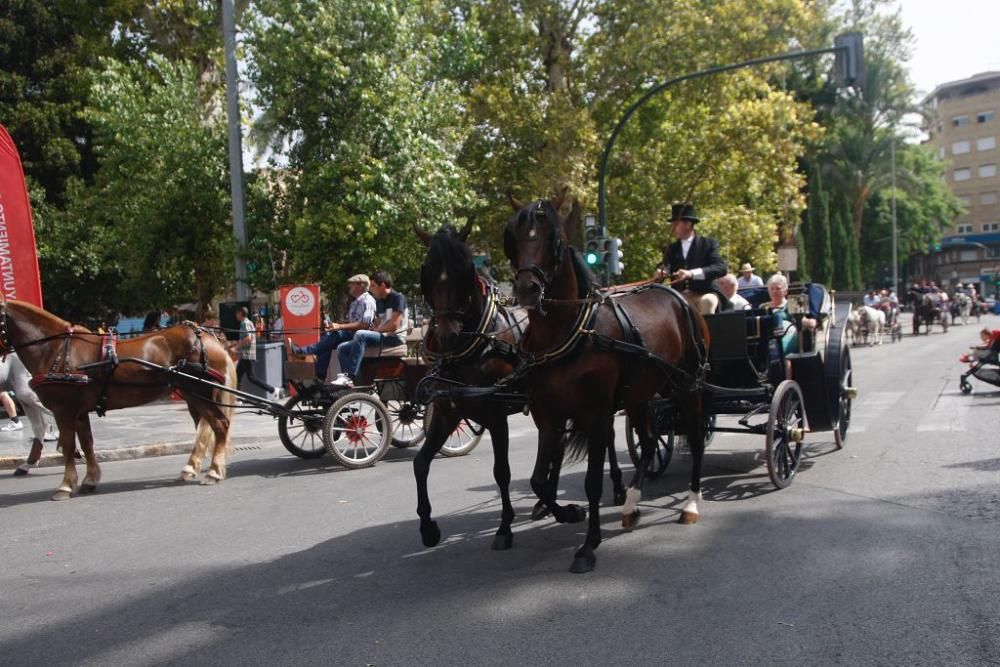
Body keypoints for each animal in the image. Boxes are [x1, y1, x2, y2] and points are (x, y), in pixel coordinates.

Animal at [0, 300, 237, 498]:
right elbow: (87, 443)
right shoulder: (79, 412)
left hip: (201, 393)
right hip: (193, 395)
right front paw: (90, 479)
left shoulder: (64, 410)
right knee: (204, 428)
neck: (56, 349)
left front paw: (66, 485)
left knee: (220, 425)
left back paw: (214, 472)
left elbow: (68, 445)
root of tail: (207, 336)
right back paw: (193, 468)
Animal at [508, 193, 712, 576]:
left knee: (694, 438)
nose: (527, 289)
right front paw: (569, 513)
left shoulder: (596, 414)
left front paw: (588, 545)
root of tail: (678, 297)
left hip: (688, 386)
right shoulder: (548, 417)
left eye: (553, 238)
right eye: (512, 236)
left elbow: (591, 481)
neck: (569, 332)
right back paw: (631, 504)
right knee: (650, 442)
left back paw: (691, 503)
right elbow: (539, 480)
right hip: (641, 395)